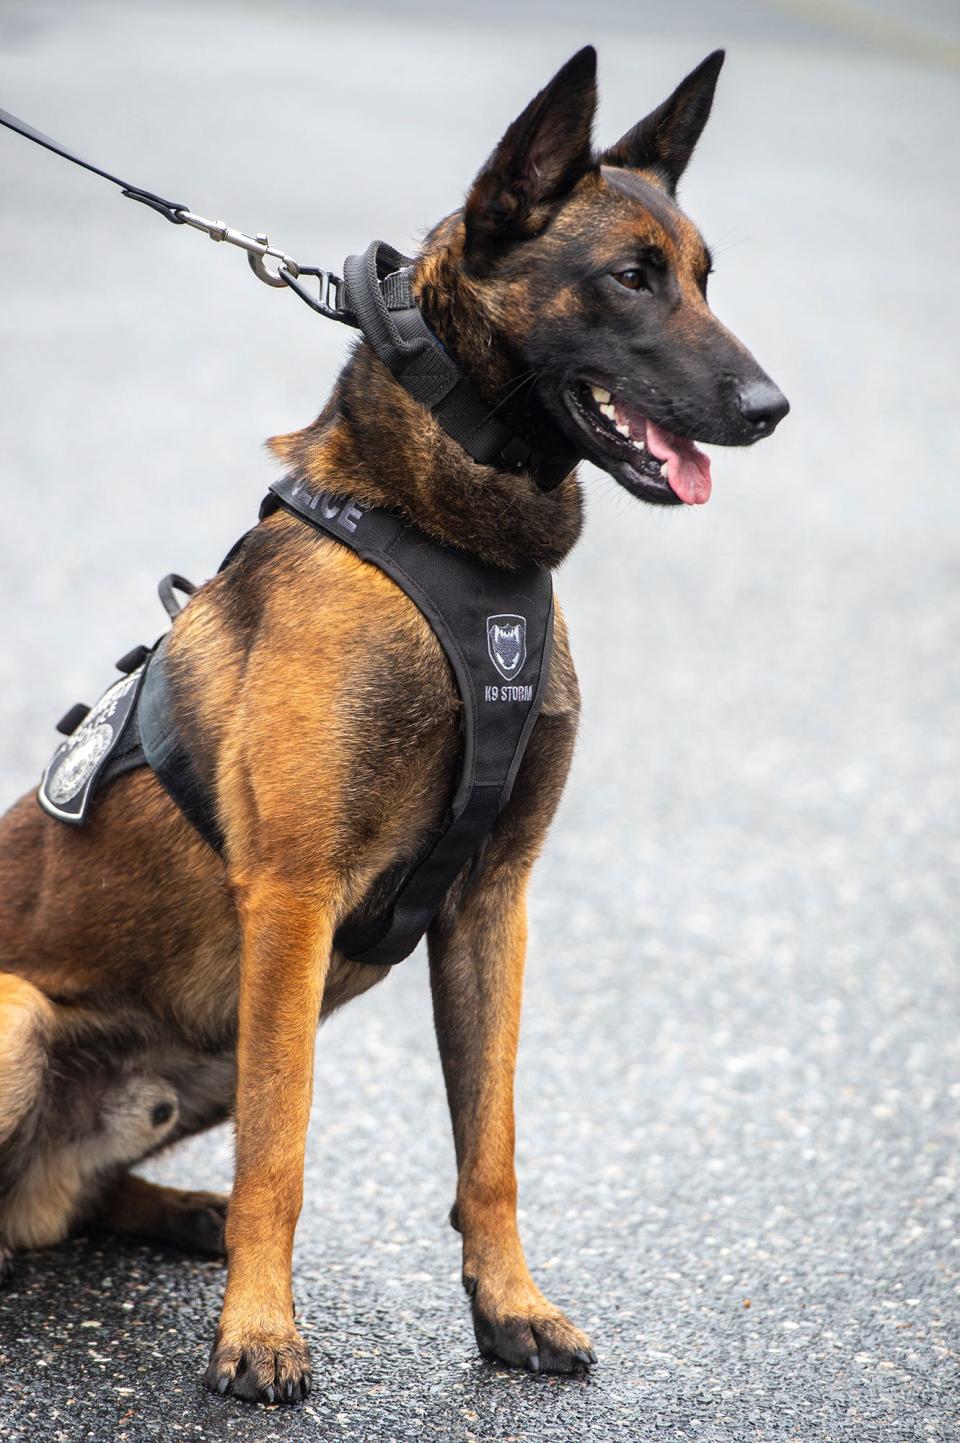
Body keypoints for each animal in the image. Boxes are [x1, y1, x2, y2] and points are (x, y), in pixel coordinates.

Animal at [0, 45, 785, 1396]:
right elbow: (284, 1152)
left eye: (701, 278)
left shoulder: (491, 903)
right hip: (24, 1020)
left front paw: (510, 1307)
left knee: (70, 1206)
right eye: (630, 279)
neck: (457, 545)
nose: (772, 405)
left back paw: (180, 1212)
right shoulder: (295, 901)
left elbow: (492, 1147)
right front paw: (261, 1333)